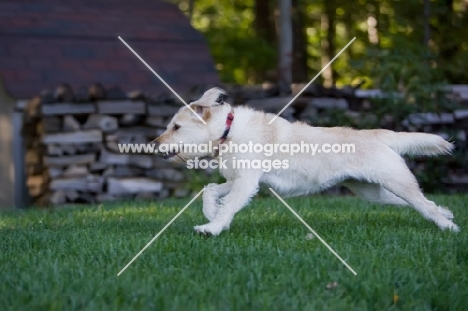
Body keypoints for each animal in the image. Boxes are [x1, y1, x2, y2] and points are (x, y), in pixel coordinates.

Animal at [155, 88, 458, 236]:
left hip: (397, 181)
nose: (154, 144)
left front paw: (212, 228)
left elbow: (228, 205)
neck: (228, 132)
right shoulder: (239, 180)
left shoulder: (246, 182)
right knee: (417, 203)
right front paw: (210, 213)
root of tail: (377, 134)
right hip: (374, 192)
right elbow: (210, 191)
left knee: (424, 205)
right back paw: (448, 213)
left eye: (176, 127)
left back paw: (449, 228)